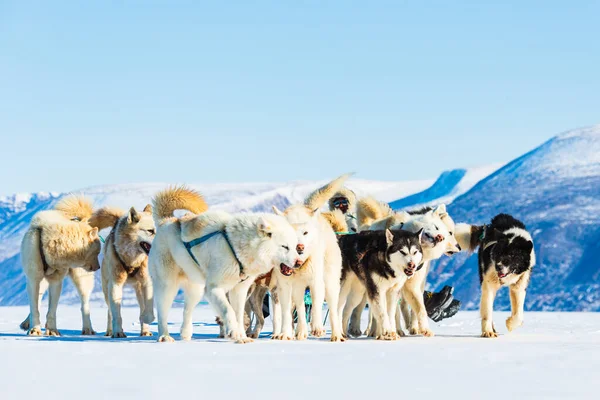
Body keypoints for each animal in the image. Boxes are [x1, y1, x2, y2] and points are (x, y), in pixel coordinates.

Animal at [20, 195, 101, 336]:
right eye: (97, 252)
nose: (98, 267)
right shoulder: (33, 279)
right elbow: (35, 308)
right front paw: (34, 329)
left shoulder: (56, 281)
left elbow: (52, 310)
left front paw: (52, 330)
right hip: (41, 281)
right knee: (38, 298)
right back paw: (26, 323)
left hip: (82, 281)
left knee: (84, 305)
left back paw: (88, 329)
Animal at [88, 205, 156, 340]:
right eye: (150, 231)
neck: (132, 260)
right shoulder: (115, 284)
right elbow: (116, 314)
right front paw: (118, 332)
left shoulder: (147, 282)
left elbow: (148, 307)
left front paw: (147, 319)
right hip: (107, 289)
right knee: (110, 311)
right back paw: (110, 330)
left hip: (138, 289)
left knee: (142, 306)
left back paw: (145, 330)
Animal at [146, 186, 300, 342]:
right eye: (285, 247)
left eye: (294, 247)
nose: (299, 262)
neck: (237, 247)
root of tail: (166, 221)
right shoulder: (214, 288)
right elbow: (228, 311)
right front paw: (233, 332)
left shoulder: (239, 290)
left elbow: (239, 316)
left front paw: (242, 337)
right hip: (167, 286)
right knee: (162, 313)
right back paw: (165, 336)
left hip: (196, 289)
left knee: (187, 310)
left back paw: (185, 333)